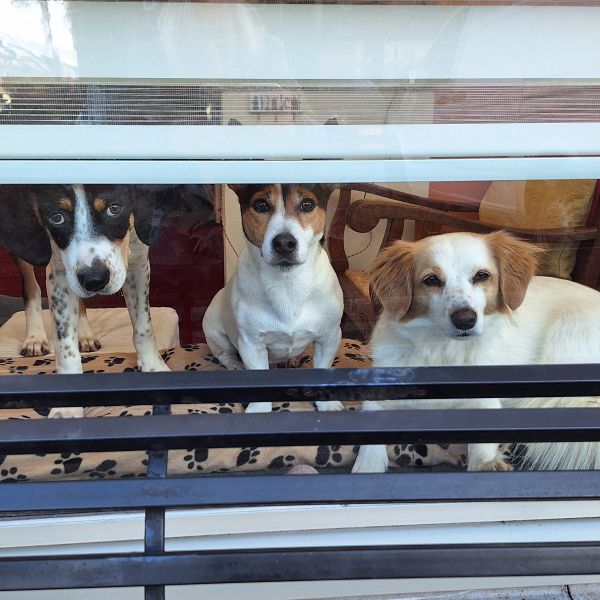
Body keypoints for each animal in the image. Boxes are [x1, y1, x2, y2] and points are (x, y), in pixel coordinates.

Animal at [0, 186, 173, 418]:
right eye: (57, 217)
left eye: (114, 209)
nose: (94, 280)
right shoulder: (58, 273)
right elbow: (65, 345)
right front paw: (67, 406)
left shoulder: (137, 261)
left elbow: (143, 326)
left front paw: (153, 368)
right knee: (30, 286)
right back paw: (35, 338)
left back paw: (85, 335)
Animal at [202, 185, 342, 414]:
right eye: (261, 205)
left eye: (307, 204)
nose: (284, 243)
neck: (288, 283)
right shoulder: (251, 344)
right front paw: (259, 410)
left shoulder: (329, 336)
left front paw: (327, 404)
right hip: (215, 332)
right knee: (225, 354)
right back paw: (235, 365)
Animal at [354, 231, 600, 474]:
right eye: (431, 280)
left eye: (482, 276)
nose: (465, 319)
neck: (443, 351)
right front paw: (366, 466)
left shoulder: (485, 402)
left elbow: (481, 450)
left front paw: (487, 463)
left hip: (568, 328)